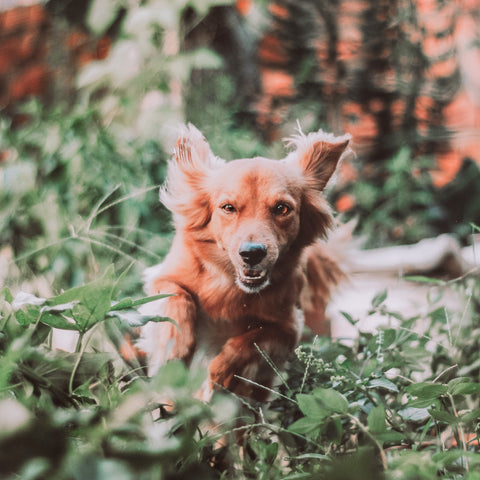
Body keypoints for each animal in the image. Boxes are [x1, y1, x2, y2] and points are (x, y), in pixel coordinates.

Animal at [139, 124, 352, 402]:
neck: (230, 288)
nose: (252, 253)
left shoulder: (288, 327)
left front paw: (220, 373)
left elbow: (251, 340)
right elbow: (177, 295)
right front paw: (177, 342)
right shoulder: (162, 277)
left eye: (282, 208)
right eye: (228, 207)